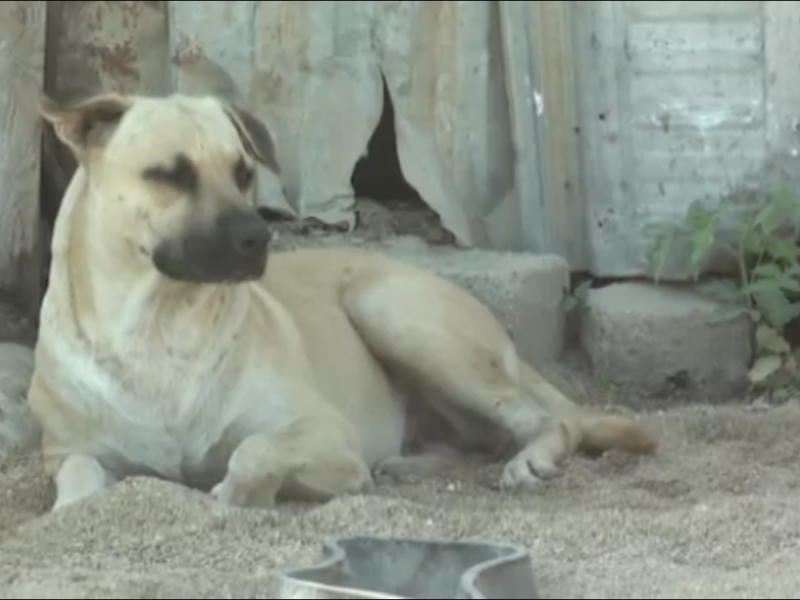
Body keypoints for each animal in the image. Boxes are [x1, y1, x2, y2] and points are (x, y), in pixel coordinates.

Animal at [28, 90, 660, 510]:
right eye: (169, 175)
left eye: (243, 172)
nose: (257, 238)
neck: (161, 324)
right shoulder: (67, 453)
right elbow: (79, 488)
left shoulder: (325, 433)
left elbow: (255, 452)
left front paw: (232, 494)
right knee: (481, 438)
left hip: (389, 309)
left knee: (547, 420)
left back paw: (530, 458)